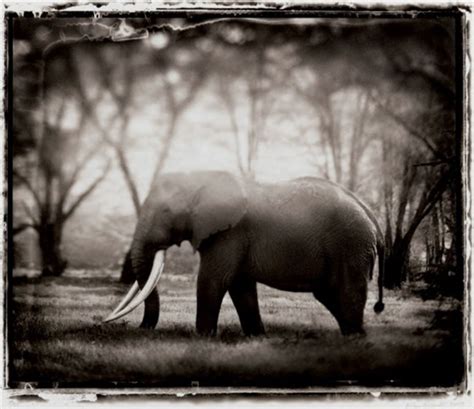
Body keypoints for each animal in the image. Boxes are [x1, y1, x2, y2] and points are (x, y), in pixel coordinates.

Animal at [104, 171, 386, 336]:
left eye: (165, 212)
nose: (142, 329)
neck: (201, 177)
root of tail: (373, 219)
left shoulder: (230, 232)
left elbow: (213, 280)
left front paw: (202, 339)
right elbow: (239, 284)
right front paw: (256, 338)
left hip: (350, 245)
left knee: (346, 290)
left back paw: (354, 339)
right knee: (328, 293)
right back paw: (353, 335)